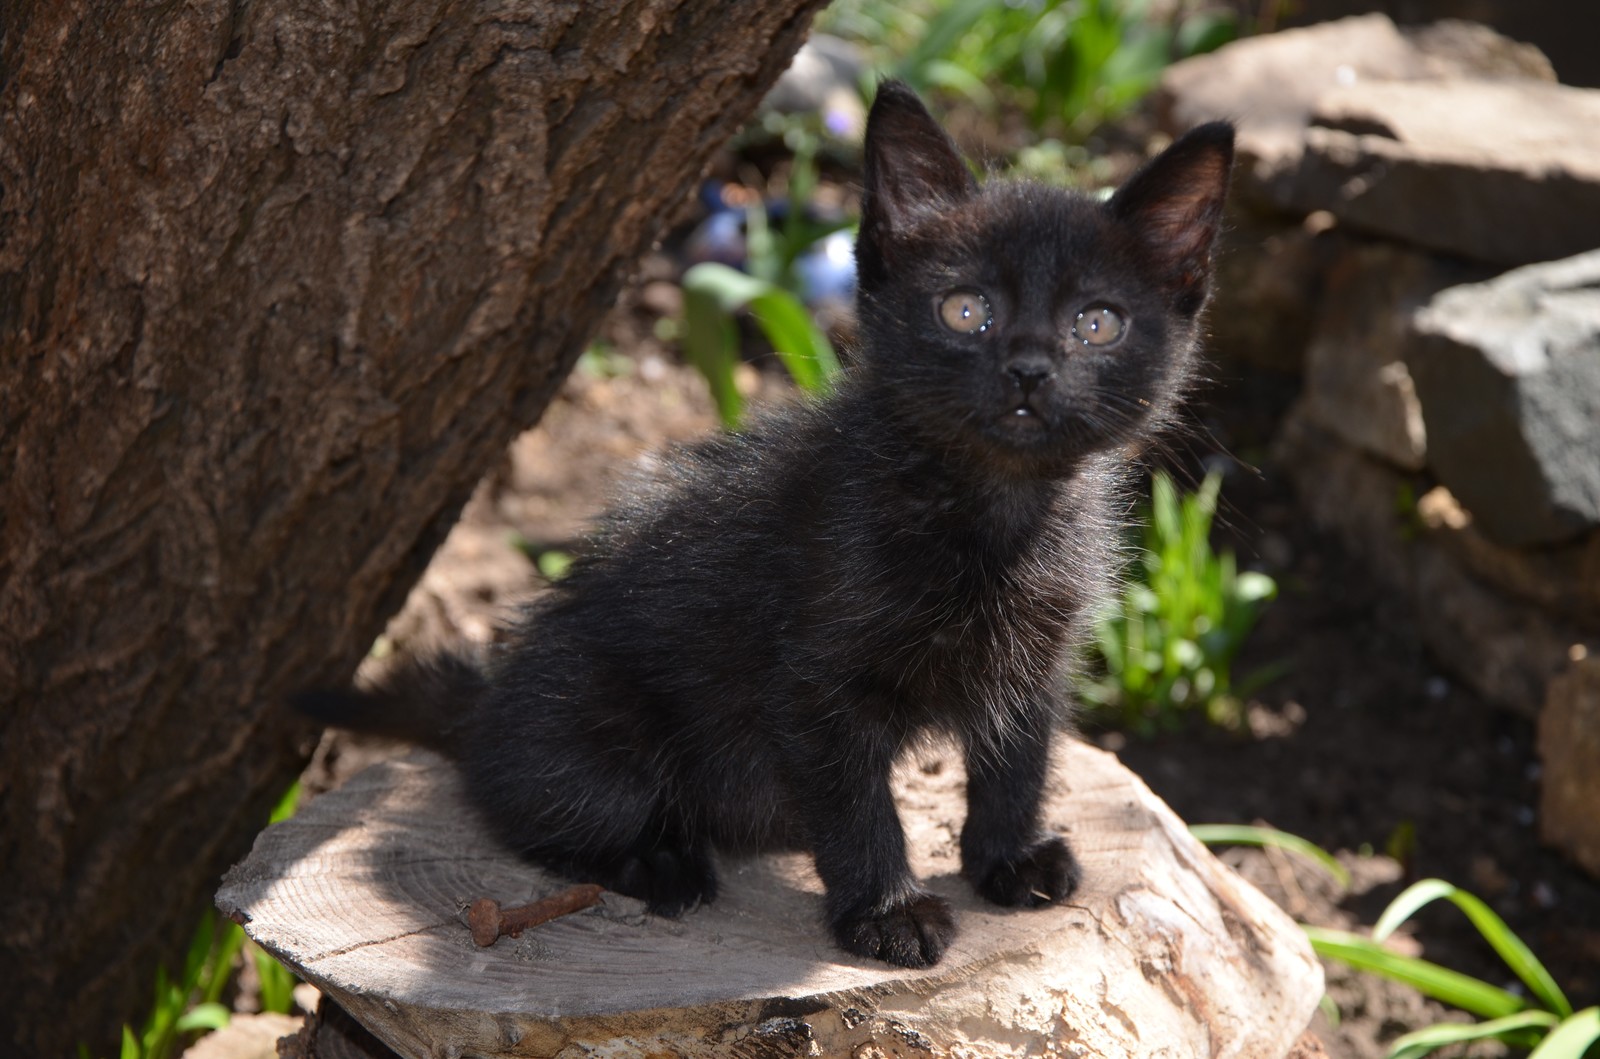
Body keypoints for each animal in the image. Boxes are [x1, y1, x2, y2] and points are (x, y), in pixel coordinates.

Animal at [302, 85, 1235, 972]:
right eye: (965, 310)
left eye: (1097, 322)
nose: (1030, 371)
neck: (990, 510)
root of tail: (486, 707)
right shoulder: (815, 681)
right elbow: (858, 803)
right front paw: (888, 911)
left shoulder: (1037, 654)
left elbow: (1017, 756)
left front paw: (1007, 858)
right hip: (591, 738)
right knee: (532, 810)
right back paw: (662, 861)